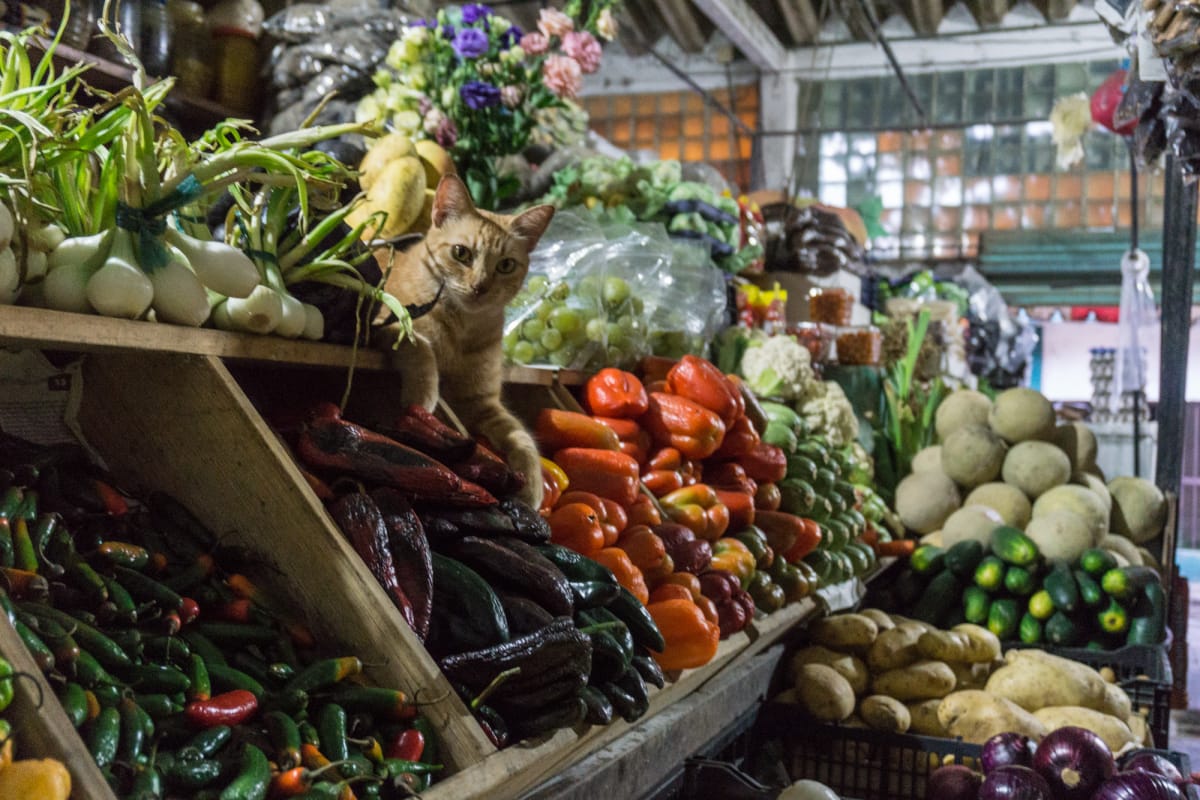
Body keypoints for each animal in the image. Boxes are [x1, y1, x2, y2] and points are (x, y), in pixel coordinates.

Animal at [379, 175, 556, 506]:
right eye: (462, 253)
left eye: (505, 265)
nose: (479, 287)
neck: (461, 326)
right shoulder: (385, 320)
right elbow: (420, 346)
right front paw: (421, 398)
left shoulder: (482, 403)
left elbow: (521, 436)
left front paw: (532, 487)